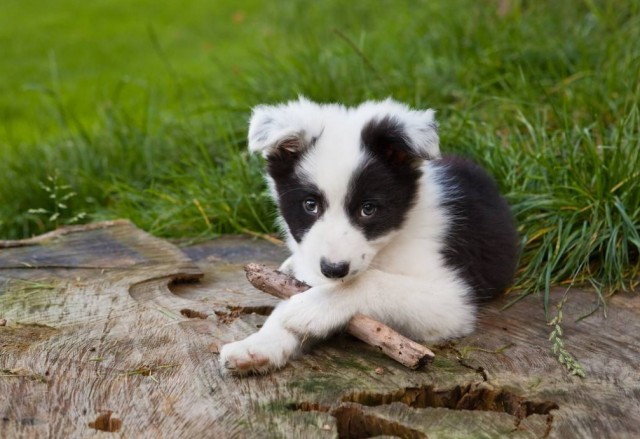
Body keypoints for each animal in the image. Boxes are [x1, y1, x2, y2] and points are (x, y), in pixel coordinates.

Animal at [220, 97, 520, 374]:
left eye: (368, 209)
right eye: (310, 205)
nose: (334, 269)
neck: (389, 242)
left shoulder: (452, 299)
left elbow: (371, 281)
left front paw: (311, 309)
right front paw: (256, 345)